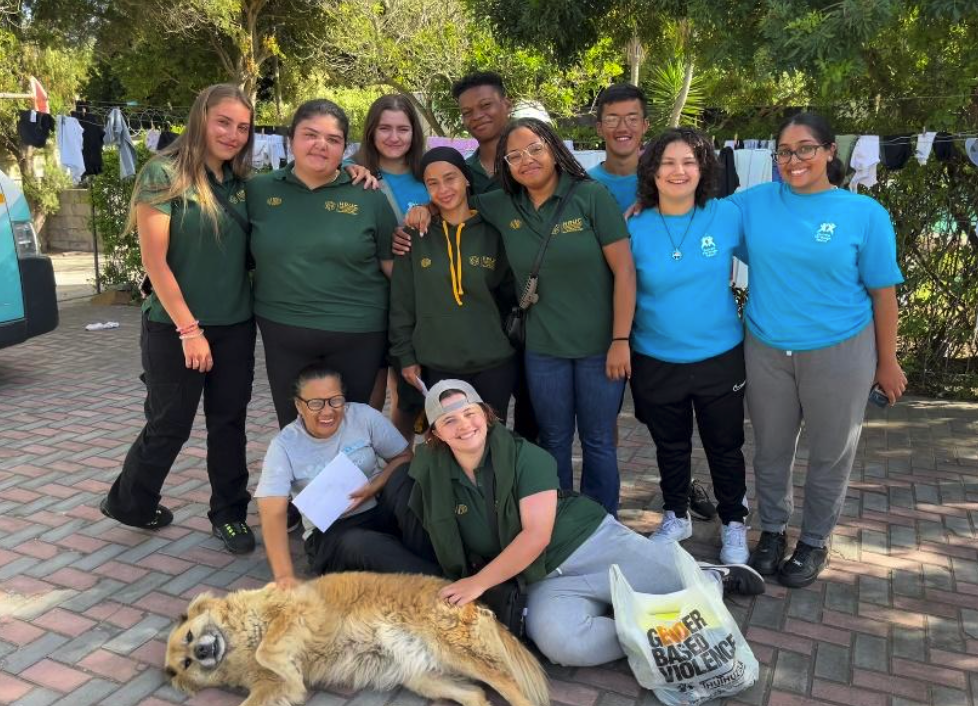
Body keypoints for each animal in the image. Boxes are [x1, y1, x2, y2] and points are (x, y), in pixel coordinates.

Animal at [167, 572, 548, 704]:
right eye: (185, 663)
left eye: (191, 635)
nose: (203, 651)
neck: (237, 641)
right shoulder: (267, 689)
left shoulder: (295, 610)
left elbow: (269, 650)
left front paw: (290, 669)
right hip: (423, 678)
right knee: (476, 695)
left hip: (460, 653)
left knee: (511, 688)